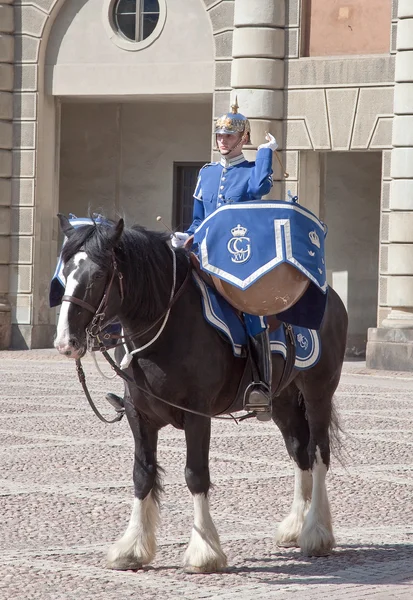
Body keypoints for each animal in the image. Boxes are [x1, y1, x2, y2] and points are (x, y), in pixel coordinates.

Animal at [53, 214, 346, 572]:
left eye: (97, 275)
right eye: (65, 273)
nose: (66, 342)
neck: (166, 325)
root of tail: (330, 294)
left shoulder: (197, 414)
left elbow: (195, 475)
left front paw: (204, 551)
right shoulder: (139, 414)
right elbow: (142, 474)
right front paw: (132, 547)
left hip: (318, 391)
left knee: (319, 453)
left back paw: (316, 532)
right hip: (284, 401)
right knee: (299, 451)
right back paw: (295, 527)